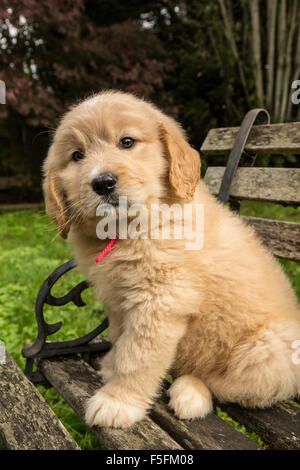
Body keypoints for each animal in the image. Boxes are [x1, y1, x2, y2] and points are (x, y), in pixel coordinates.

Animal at [43, 90, 300, 428]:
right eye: (77, 156)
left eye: (127, 142)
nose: (102, 182)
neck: (132, 228)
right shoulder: (118, 302)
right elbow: (119, 339)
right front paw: (111, 365)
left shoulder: (160, 301)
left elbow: (136, 356)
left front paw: (118, 401)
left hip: (271, 352)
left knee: (222, 382)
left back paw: (190, 392)